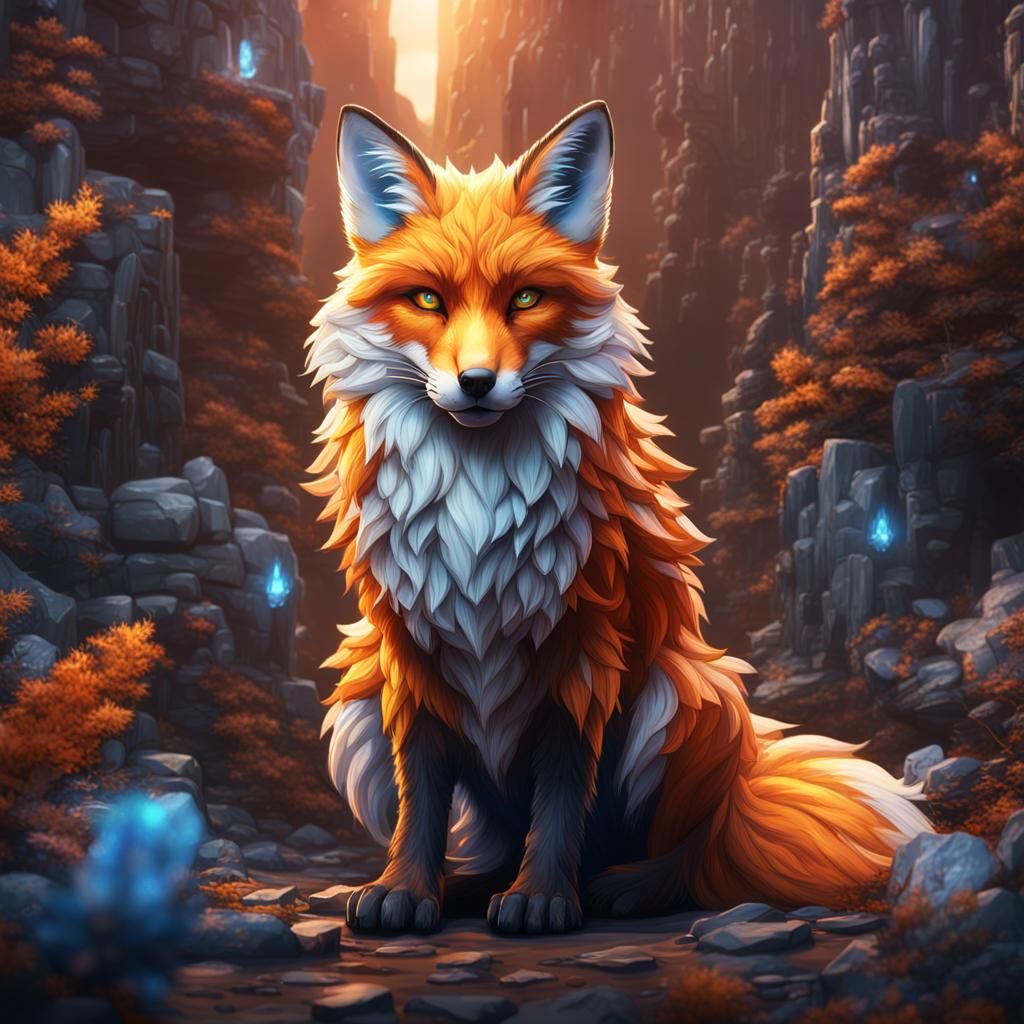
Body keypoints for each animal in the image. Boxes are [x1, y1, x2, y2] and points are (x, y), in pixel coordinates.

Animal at [304, 100, 932, 935]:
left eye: (525, 299)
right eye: (429, 300)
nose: (477, 382)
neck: (476, 501)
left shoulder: (585, 650)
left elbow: (563, 794)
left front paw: (542, 899)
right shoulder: (408, 649)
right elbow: (423, 794)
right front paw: (407, 888)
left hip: (684, 697)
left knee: (691, 855)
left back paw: (619, 886)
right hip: (357, 707)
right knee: (499, 839)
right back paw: (468, 883)